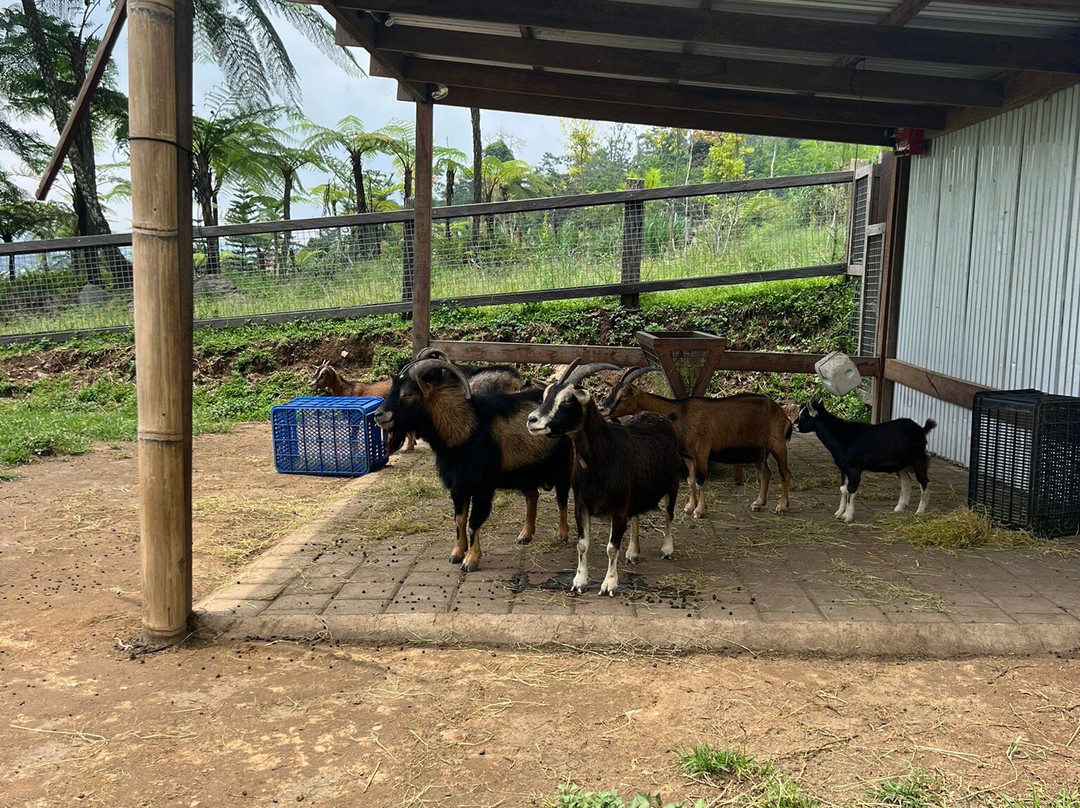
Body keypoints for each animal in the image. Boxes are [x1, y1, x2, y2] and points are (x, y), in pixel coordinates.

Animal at [373, 356, 574, 570]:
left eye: (408, 393)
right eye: (392, 390)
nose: (379, 415)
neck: (465, 429)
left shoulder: (482, 486)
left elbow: (474, 521)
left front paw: (471, 559)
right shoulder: (458, 486)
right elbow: (460, 520)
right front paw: (456, 553)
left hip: (563, 466)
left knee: (561, 498)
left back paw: (562, 534)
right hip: (525, 470)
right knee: (532, 495)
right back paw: (525, 535)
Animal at [524, 362, 682, 596]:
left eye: (567, 400)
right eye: (545, 395)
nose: (532, 420)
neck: (601, 459)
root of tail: (662, 417)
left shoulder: (619, 508)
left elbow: (611, 547)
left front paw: (609, 584)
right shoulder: (581, 504)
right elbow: (582, 544)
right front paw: (579, 582)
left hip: (672, 484)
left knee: (669, 514)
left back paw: (667, 548)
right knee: (637, 516)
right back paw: (633, 552)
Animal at [600, 367, 794, 518]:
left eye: (624, 396)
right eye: (612, 391)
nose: (603, 409)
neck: (681, 414)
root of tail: (783, 415)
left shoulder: (701, 453)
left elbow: (701, 480)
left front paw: (699, 511)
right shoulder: (688, 456)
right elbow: (690, 480)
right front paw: (688, 507)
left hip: (778, 444)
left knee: (785, 473)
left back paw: (782, 506)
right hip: (760, 450)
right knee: (765, 473)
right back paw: (758, 503)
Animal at [794, 399, 937, 524]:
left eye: (803, 416)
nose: (793, 426)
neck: (842, 435)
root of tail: (922, 429)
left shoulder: (855, 469)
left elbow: (851, 490)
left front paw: (847, 516)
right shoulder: (844, 469)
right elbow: (843, 489)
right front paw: (839, 513)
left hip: (918, 460)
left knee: (924, 482)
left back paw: (920, 511)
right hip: (900, 465)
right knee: (906, 482)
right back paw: (899, 508)